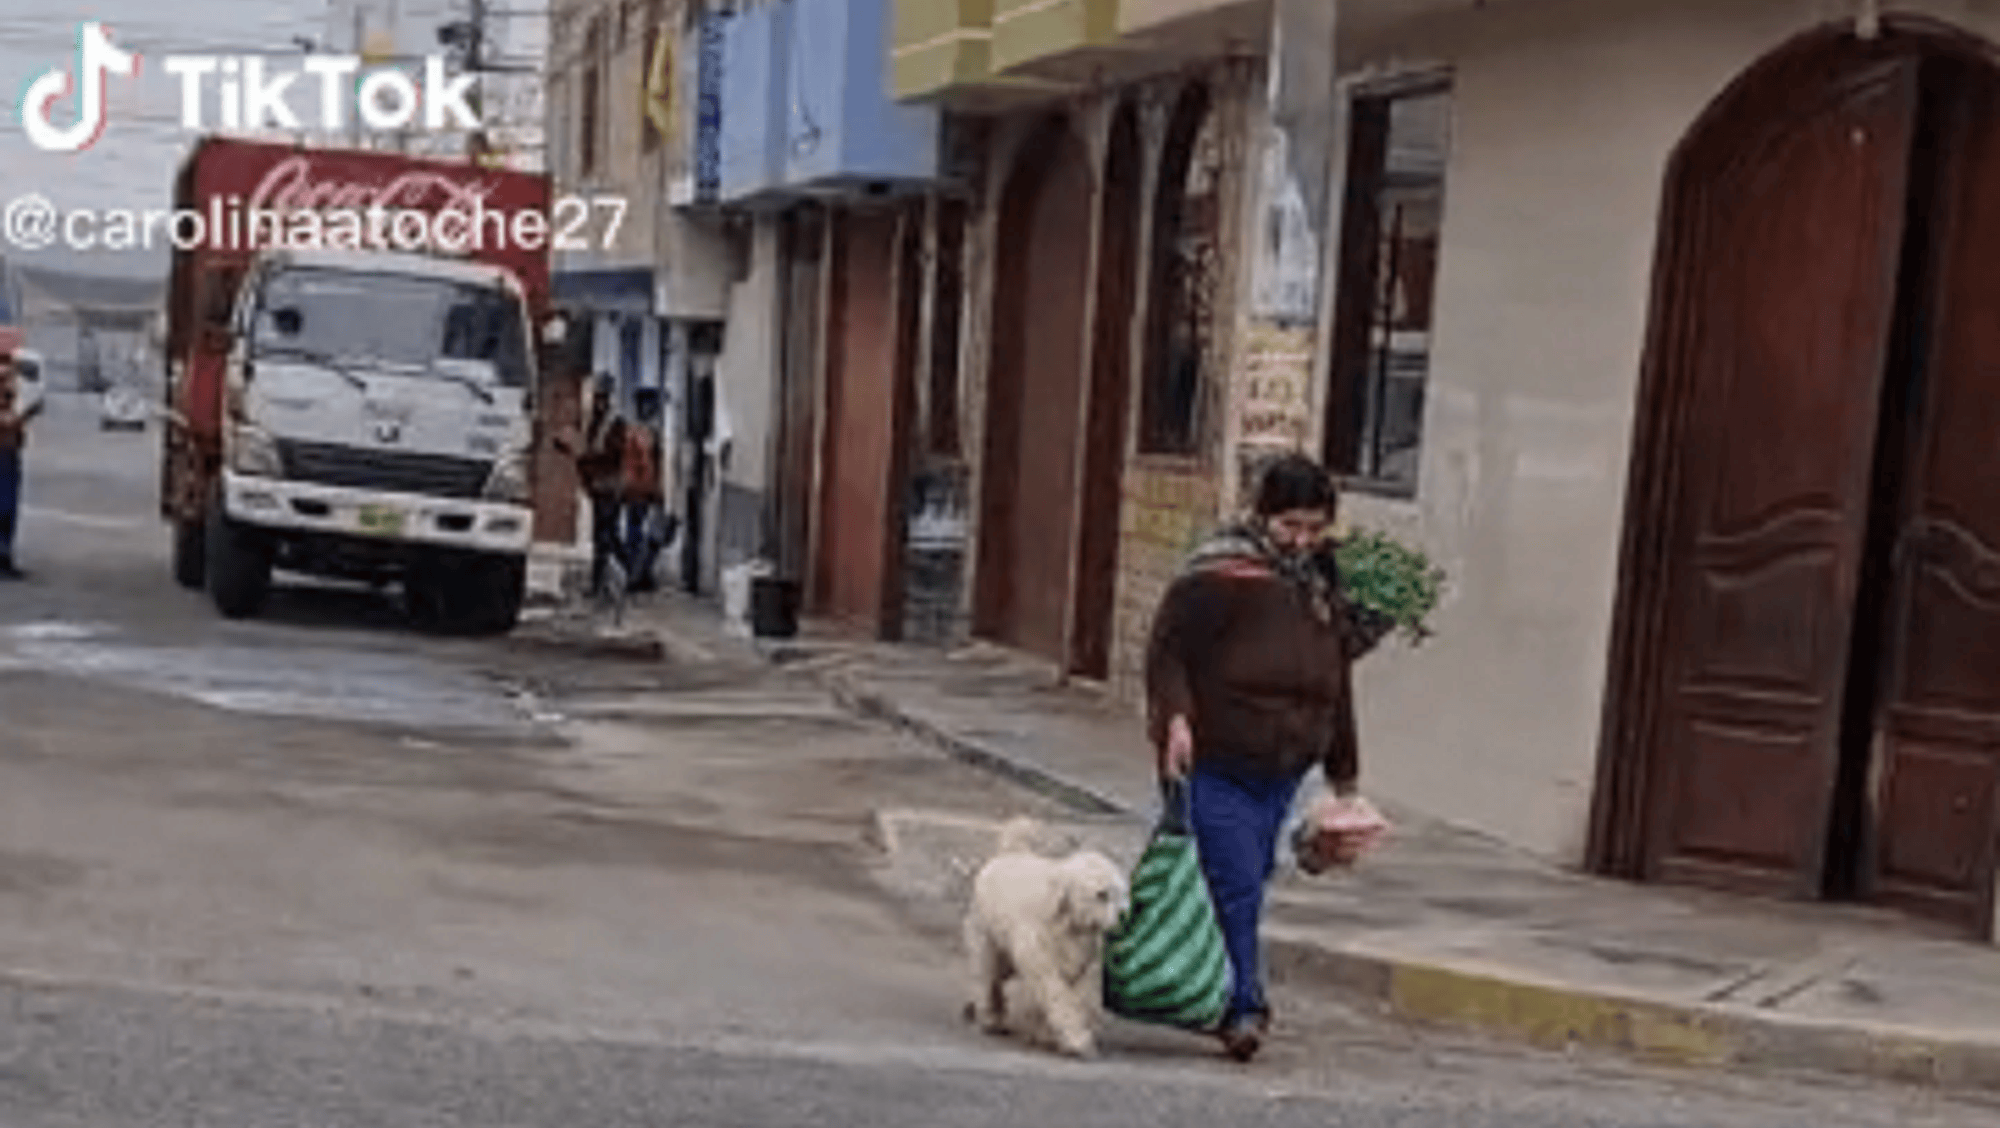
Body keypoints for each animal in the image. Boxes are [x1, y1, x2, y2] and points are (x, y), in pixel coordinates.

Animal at [956, 816, 1128, 1056]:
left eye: (1121, 893)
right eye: (1101, 895)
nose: (1124, 918)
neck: (1066, 920)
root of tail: (1010, 852)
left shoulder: (1079, 959)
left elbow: (1075, 994)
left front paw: (1048, 1035)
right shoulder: (1040, 954)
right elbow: (1055, 992)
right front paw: (1076, 1040)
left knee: (996, 976)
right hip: (987, 936)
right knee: (986, 973)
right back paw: (990, 1017)